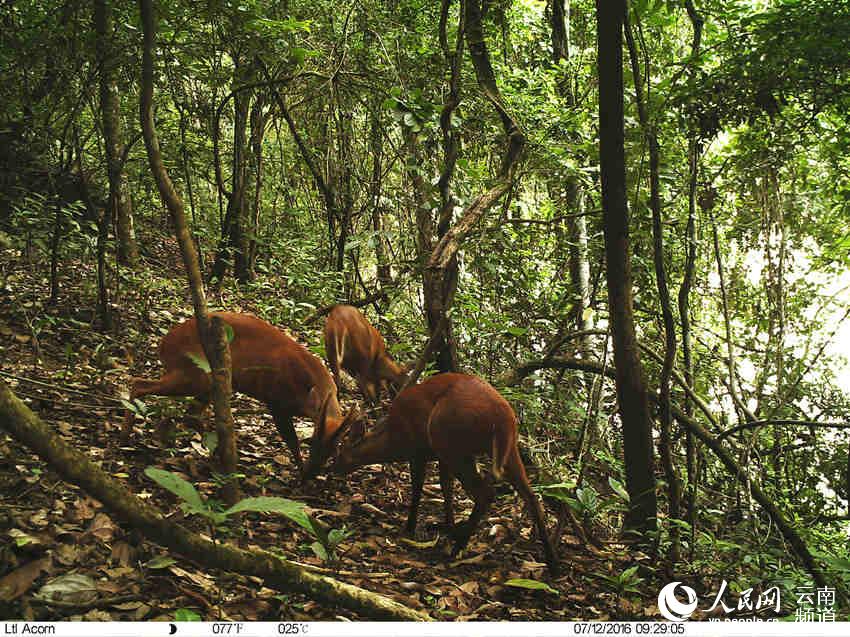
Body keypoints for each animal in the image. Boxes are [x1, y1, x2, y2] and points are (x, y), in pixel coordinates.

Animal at [125, 310, 358, 480]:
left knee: (188, 413)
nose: (312, 473)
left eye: (333, 450)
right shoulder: (276, 401)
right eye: (312, 442)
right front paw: (300, 473)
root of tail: (164, 343)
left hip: (203, 378)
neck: (314, 391)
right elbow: (291, 440)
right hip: (195, 372)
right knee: (138, 384)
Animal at [324, 370, 556, 572]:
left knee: (486, 493)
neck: (393, 438)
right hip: (502, 450)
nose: (332, 469)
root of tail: (504, 417)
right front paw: (449, 526)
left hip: (449, 439)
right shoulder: (439, 457)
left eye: (341, 452)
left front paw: (410, 527)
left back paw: (458, 547)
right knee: (531, 496)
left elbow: (417, 487)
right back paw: (552, 561)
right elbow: (446, 487)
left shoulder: (418, 450)